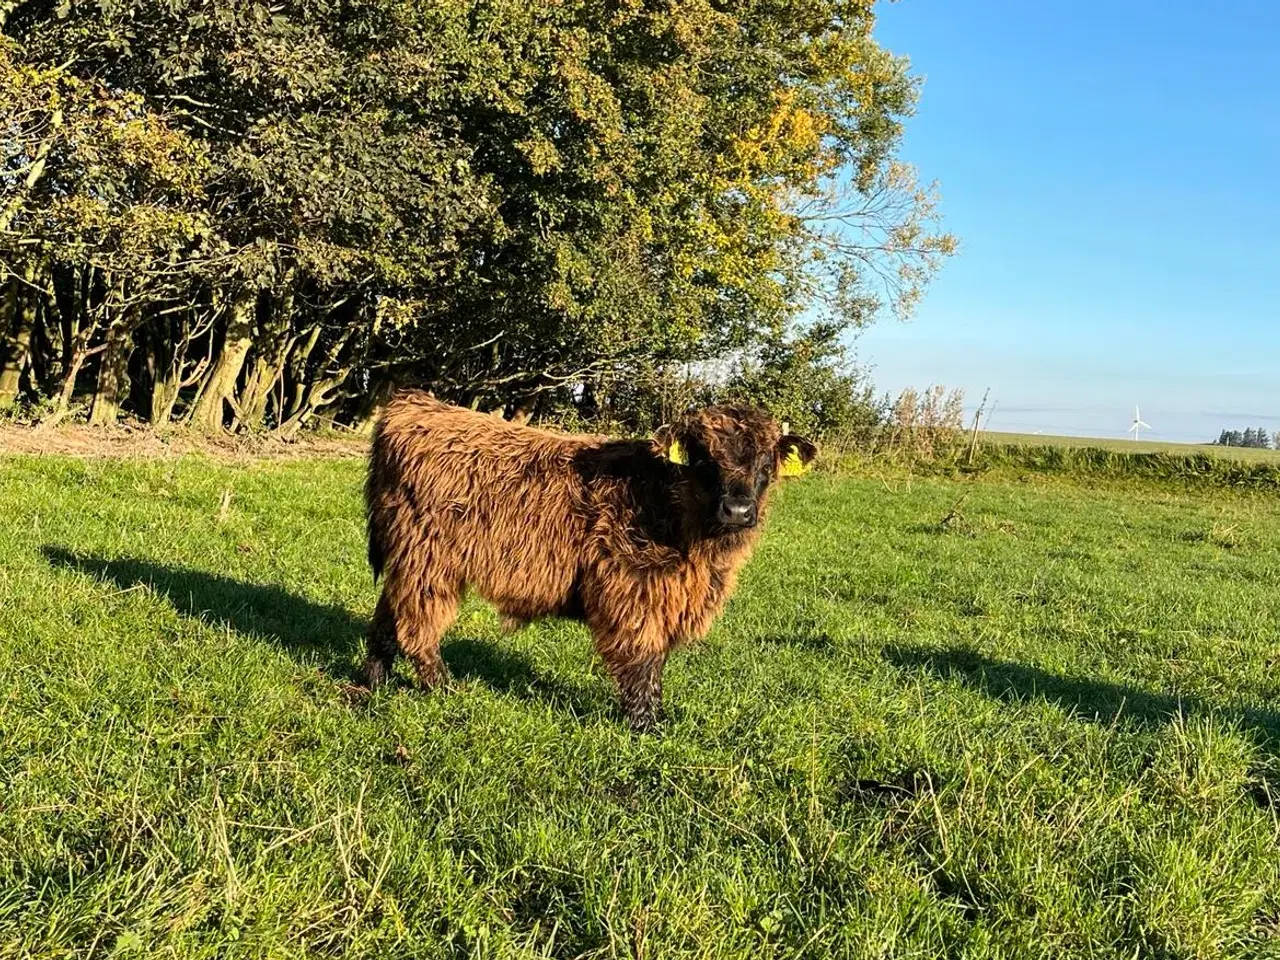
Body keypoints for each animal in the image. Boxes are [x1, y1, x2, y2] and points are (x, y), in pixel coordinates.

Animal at [366, 391, 814, 727]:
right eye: (703, 459)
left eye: (767, 462)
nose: (737, 510)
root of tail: (413, 405)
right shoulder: (634, 591)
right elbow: (644, 661)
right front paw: (646, 725)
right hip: (428, 560)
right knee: (417, 627)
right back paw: (443, 688)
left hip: (407, 556)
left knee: (386, 618)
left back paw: (374, 681)